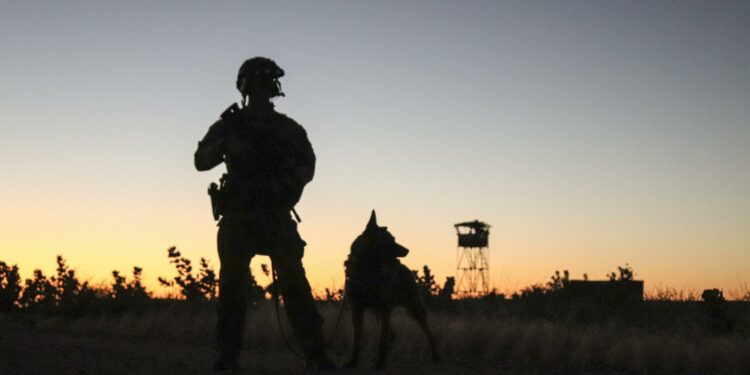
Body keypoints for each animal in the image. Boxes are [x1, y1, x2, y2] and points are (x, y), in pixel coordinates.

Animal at [342, 212, 440, 370]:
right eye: (391, 240)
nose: (408, 250)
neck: (366, 271)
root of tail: (406, 268)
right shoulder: (356, 311)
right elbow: (356, 341)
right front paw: (353, 362)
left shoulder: (383, 309)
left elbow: (381, 341)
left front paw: (380, 363)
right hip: (380, 313)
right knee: (392, 334)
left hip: (414, 309)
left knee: (429, 333)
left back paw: (436, 355)